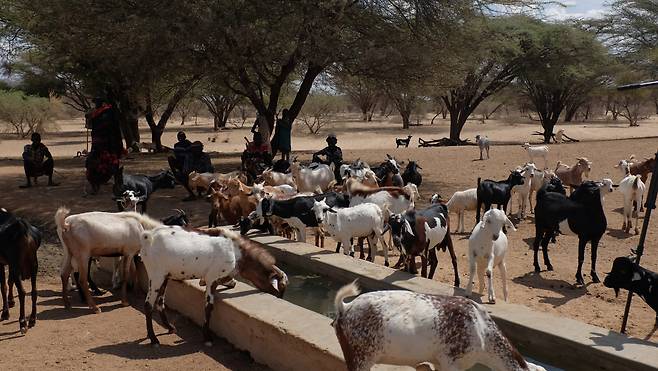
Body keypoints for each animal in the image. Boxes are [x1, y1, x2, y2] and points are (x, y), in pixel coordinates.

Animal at [141, 227, 288, 346]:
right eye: (280, 288)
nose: (279, 298)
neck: (236, 250)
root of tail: (148, 237)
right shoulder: (212, 278)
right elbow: (209, 306)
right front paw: (207, 338)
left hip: (164, 276)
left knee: (160, 302)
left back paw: (170, 327)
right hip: (156, 276)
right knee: (148, 304)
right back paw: (154, 339)